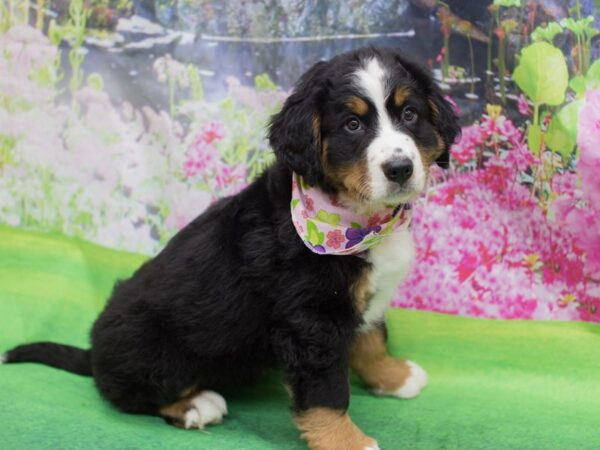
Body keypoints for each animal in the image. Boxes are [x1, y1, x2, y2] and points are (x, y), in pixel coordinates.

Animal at [2, 46, 460, 450]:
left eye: (409, 114)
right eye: (352, 125)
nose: (399, 169)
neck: (358, 218)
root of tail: (94, 350)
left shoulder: (355, 303)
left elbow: (371, 337)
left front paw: (394, 377)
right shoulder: (311, 319)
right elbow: (326, 391)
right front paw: (348, 441)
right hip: (154, 347)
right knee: (126, 392)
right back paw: (195, 405)